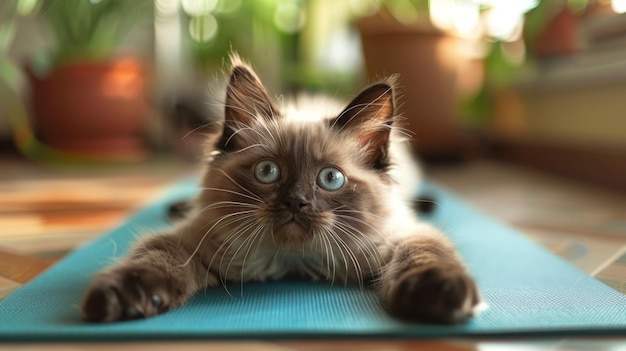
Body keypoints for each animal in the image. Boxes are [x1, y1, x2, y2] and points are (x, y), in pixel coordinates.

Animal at [81, 54, 478, 324]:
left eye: (330, 179)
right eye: (267, 172)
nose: (296, 202)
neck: (293, 263)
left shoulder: (399, 237)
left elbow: (425, 255)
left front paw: (439, 294)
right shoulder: (191, 241)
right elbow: (151, 258)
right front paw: (120, 299)